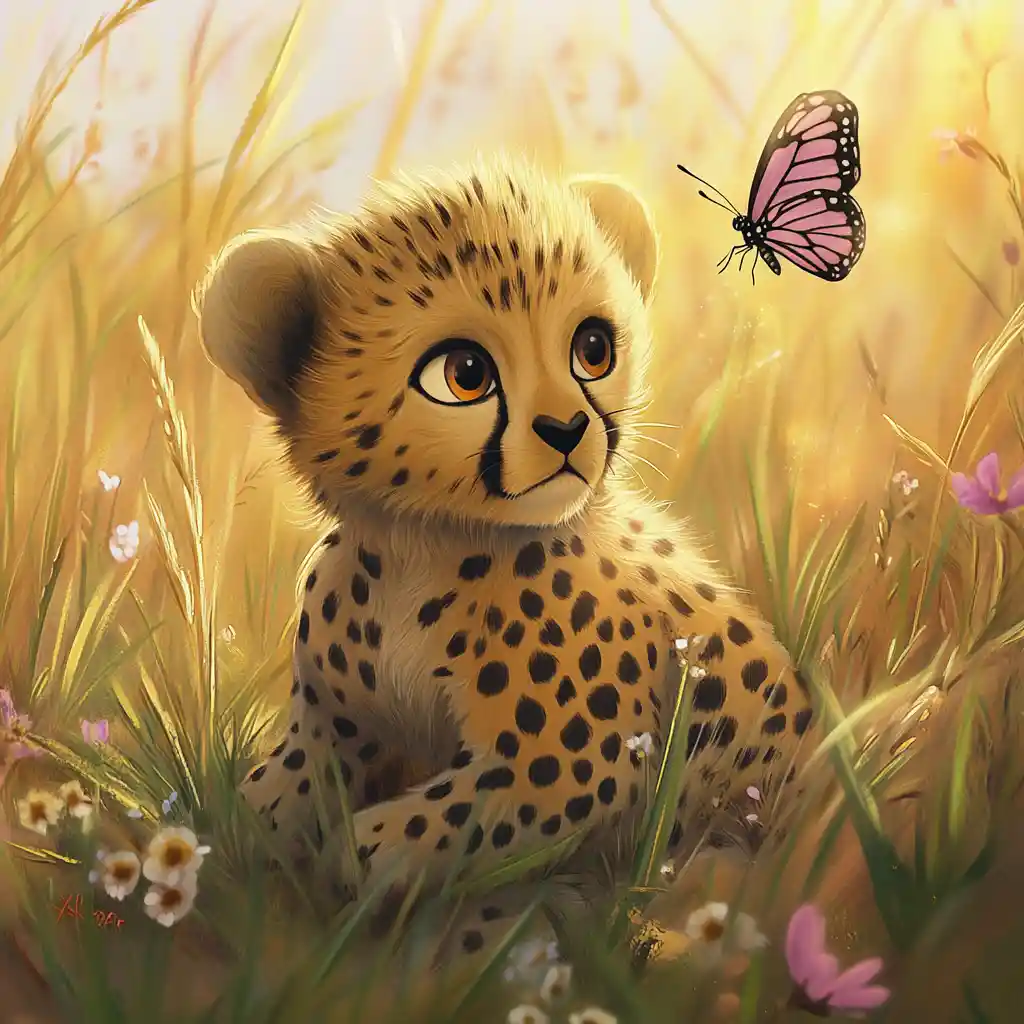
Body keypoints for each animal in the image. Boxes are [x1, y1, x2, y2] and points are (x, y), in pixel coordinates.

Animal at [193, 153, 819, 968]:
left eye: (593, 348)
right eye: (464, 372)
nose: (566, 429)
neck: (424, 546)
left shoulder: (574, 767)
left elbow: (427, 826)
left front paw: (352, 871)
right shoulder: (336, 726)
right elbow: (274, 797)